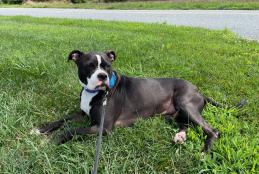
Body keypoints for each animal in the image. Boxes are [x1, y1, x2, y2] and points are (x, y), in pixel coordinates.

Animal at [31, 49, 247, 152]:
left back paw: (204, 151)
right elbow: (63, 119)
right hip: (175, 113)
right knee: (185, 123)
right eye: (90, 65)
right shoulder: (82, 113)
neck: (93, 92)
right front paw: (40, 129)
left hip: (185, 103)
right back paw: (180, 136)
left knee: (213, 130)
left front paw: (48, 141)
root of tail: (198, 90)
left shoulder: (102, 128)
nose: (102, 76)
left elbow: (71, 131)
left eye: (107, 66)